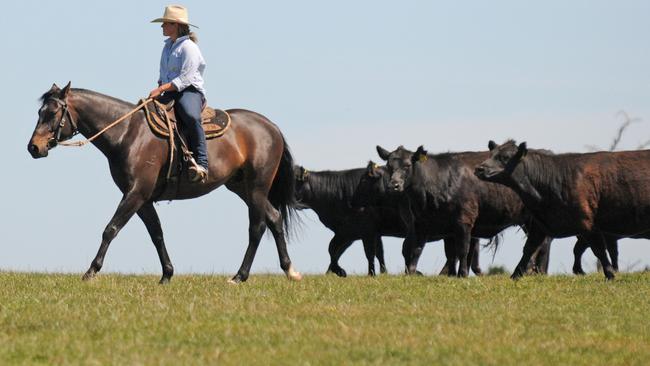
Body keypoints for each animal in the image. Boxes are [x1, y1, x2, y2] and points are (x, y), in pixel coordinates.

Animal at [27, 82, 302, 284]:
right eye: (39, 112)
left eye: (52, 113)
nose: (34, 147)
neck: (127, 133)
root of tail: (271, 127)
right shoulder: (143, 198)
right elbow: (156, 233)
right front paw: (167, 275)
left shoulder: (135, 193)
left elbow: (111, 229)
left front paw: (90, 272)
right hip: (241, 187)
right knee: (274, 218)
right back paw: (290, 271)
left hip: (257, 187)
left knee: (256, 227)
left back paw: (239, 276)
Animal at [374, 146, 552, 278]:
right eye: (389, 167)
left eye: (407, 165)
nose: (394, 185)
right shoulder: (422, 224)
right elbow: (417, 249)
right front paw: (412, 274)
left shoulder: (464, 221)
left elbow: (463, 250)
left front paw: (462, 274)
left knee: (541, 244)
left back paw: (534, 271)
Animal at [474, 140, 648, 280]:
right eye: (491, 154)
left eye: (505, 157)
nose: (479, 169)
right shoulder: (540, 224)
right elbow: (528, 249)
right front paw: (515, 275)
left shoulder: (587, 224)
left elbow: (598, 250)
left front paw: (610, 274)